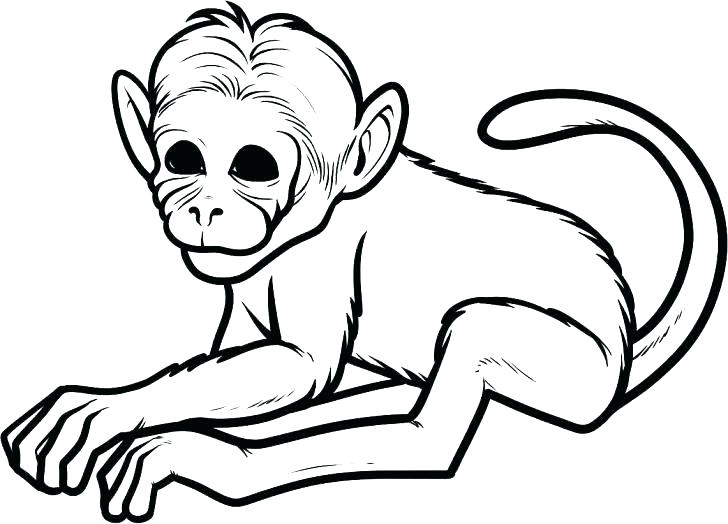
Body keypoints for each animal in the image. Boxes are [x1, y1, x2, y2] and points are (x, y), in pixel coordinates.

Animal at [2, 3, 725, 522]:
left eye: (253, 167)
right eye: (183, 159)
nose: (205, 209)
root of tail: (624, 339)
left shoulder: (318, 260)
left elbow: (303, 366)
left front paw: (130, 415)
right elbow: (240, 363)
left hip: (575, 369)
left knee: (435, 419)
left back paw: (224, 461)